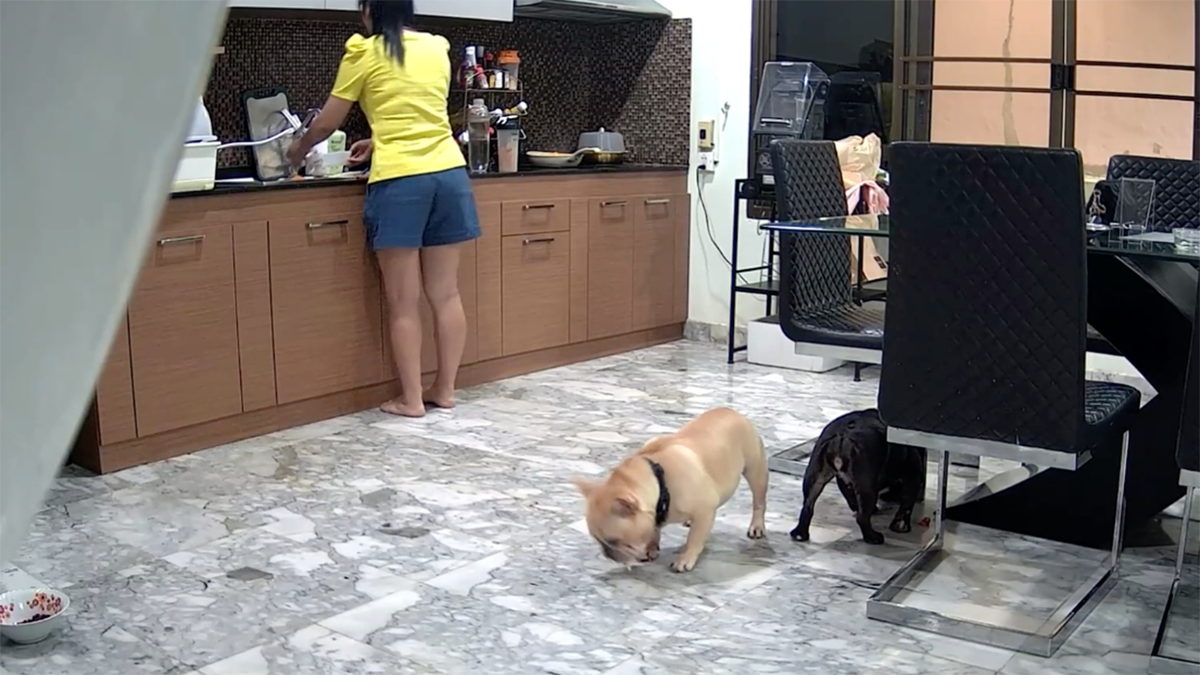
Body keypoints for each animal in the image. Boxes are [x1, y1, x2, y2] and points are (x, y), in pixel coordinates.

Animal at [792, 408, 921, 542]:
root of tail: (842, 435)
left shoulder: (844, 480)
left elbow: (850, 497)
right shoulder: (913, 475)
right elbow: (907, 504)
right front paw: (901, 526)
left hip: (815, 476)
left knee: (807, 506)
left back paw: (800, 533)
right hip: (867, 487)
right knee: (862, 517)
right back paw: (873, 537)